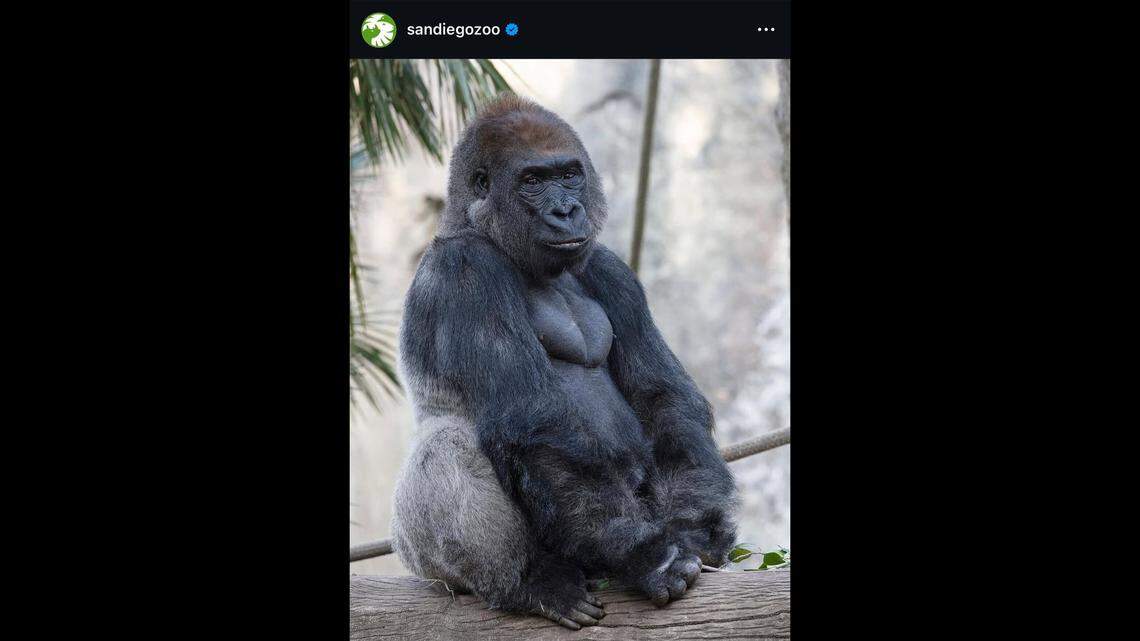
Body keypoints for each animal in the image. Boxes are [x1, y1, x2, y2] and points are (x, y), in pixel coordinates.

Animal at [390, 94, 738, 630]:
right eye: (533, 181)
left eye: (570, 175)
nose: (566, 210)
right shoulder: (465, 269)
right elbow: (533, 419)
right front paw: (649, 558)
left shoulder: (611, 269)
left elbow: (665, 401)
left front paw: (697, 529)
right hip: (424, 561)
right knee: (447, 442)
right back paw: (529, 582)